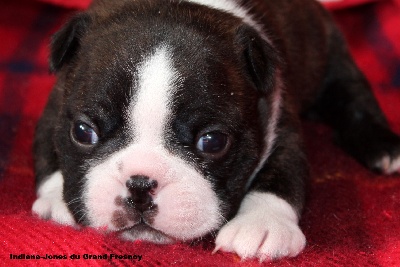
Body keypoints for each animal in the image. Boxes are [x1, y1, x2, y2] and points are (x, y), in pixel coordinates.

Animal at [31, 0, 400, 262]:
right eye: (83, 132)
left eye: (212, 142)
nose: (140, 185)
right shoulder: (56, 104)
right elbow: (46, 151)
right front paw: (55, 199)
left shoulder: (280, 118)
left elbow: (283, 173)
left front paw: (262, 223)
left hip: (329, 53)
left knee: (352, 93)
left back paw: (383, 147)